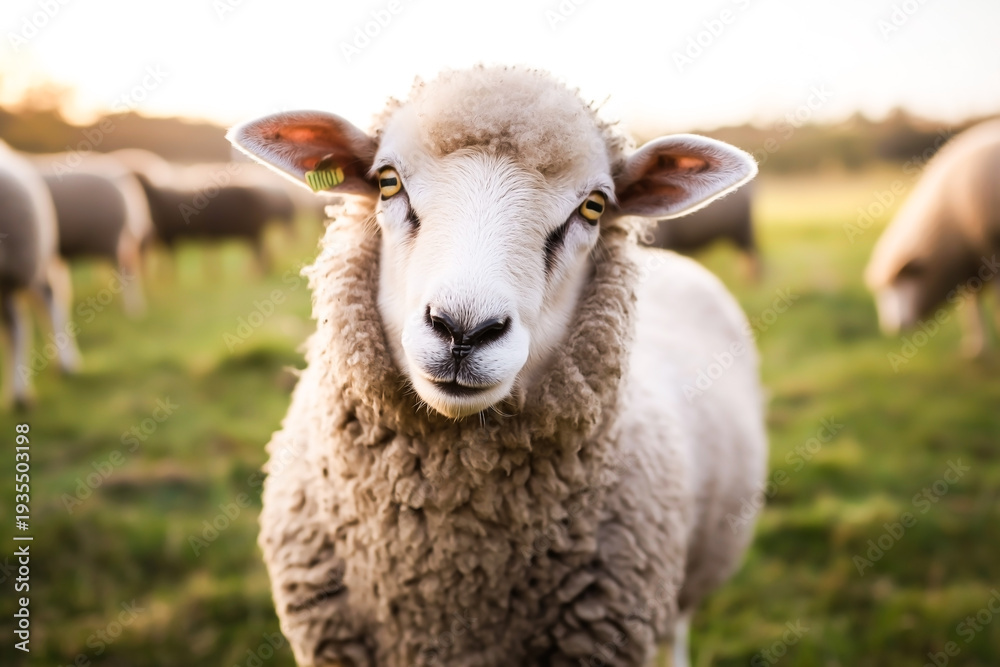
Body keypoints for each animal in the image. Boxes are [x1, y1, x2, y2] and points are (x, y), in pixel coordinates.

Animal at [865, 119, 1000, 356]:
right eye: (880, 291)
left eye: (902, 279)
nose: (893, 328)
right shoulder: (970, 267)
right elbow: (972, 306)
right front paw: (976, 347)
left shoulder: (991, 251)